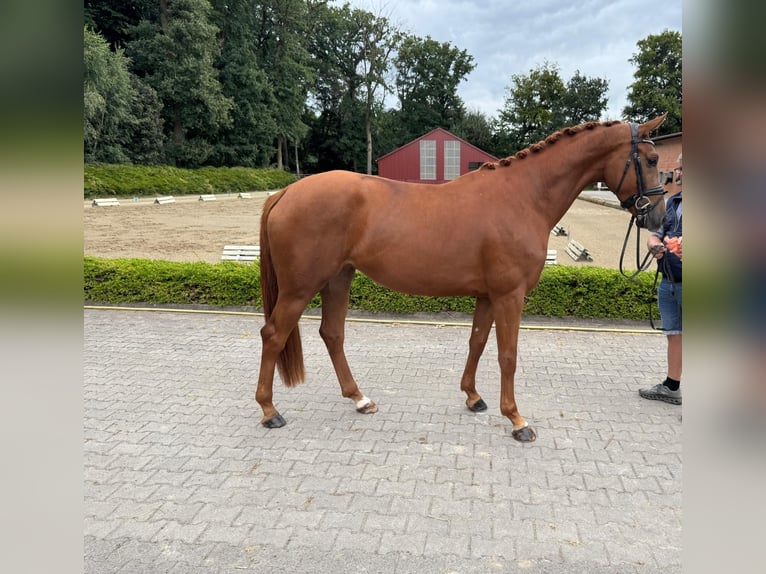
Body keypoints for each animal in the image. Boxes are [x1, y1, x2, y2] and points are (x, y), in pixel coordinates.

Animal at [256, 115, 668, 442]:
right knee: (273, 335)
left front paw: (473, 397)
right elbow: (507, 355)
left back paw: (360, 399)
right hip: (300, 287)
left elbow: (478, 343)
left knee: (332, 334)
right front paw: (517, 420)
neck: (523, 197)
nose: (659, 218)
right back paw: (270, 411)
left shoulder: (488, 295)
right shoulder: (509, 295)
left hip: (338, 278)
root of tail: (286, 191)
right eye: (651, 160)